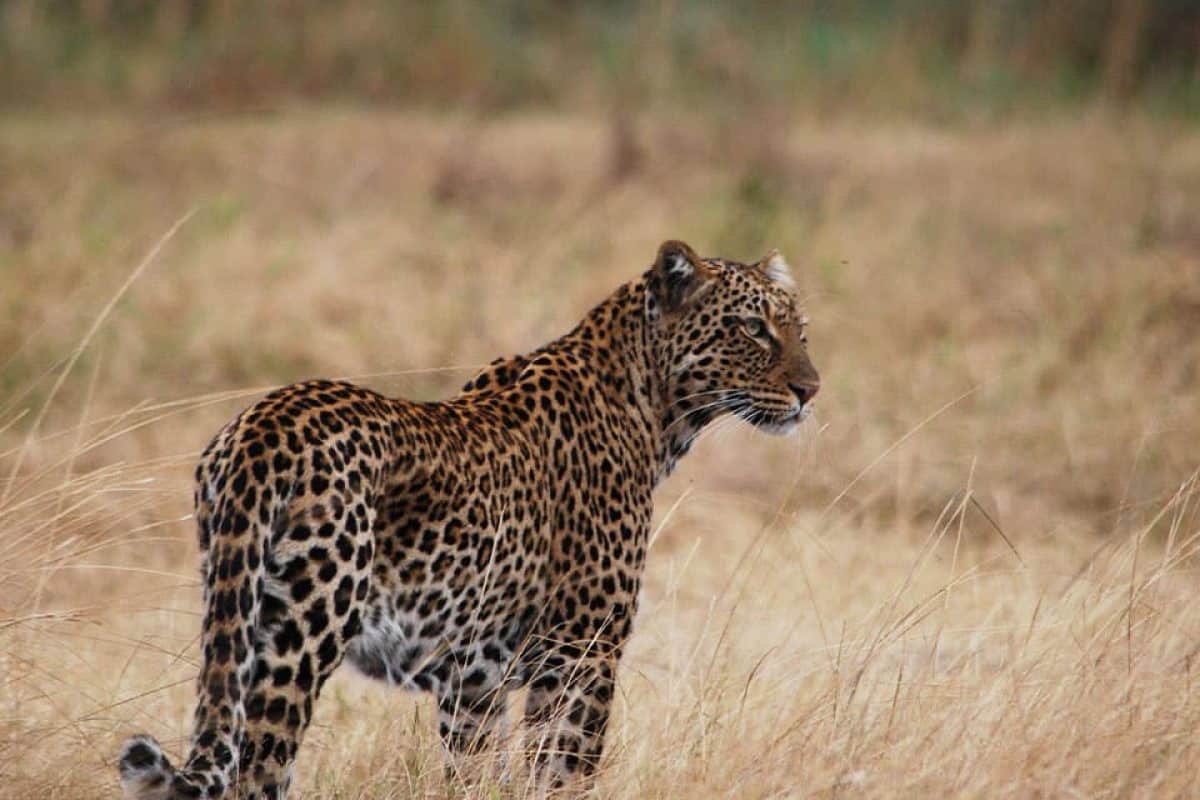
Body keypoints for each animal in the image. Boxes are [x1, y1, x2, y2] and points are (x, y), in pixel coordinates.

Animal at [118, 239, 820, 798]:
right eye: (753, 329)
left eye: (800, 330)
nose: (810, 390)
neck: (654, 412)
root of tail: (262, 424)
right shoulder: (581, 654)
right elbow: (563, 775)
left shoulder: (474, 681)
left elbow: (478, 775)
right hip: (300, 639)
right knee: (254, 773)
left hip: (232, 614)